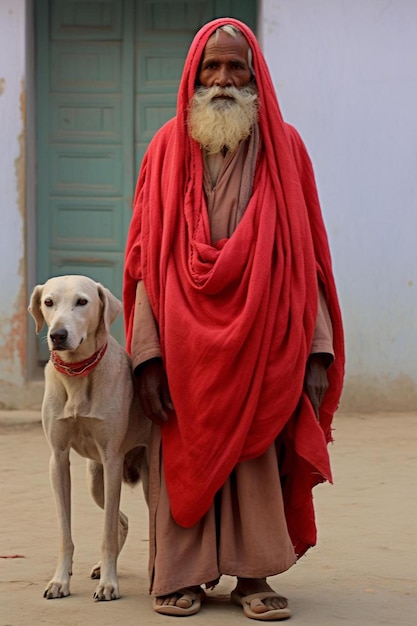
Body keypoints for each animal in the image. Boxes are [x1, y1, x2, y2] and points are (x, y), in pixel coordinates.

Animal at [28, 274, 150, 600]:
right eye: (48, 302)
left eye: (82, 302)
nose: (57, 335)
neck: (77, 374)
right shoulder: (58, 459)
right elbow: (65, 532)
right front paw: (60, 580)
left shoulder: (111, 460)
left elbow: (106, 533)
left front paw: (110, 583)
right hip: (95, 480)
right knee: (123, 520)